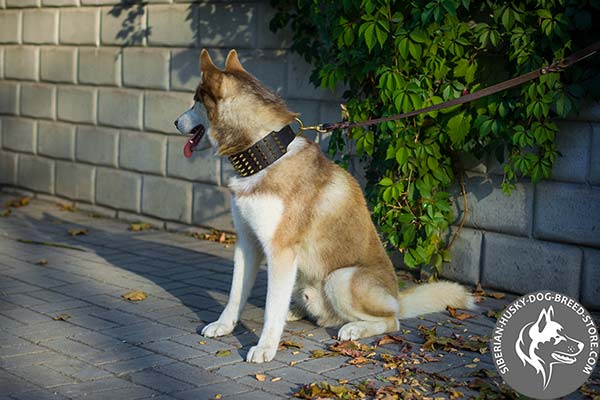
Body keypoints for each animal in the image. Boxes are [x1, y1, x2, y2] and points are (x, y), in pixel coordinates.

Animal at [172, 49, 474, 362]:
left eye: (195, 100)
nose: (175, 122)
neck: (266, 154)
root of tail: (397, 297)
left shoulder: (281, 251)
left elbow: (270, 308)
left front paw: (266, 347)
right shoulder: (247, 243)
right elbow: (236, 294)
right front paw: (224, 325)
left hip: (340, 278)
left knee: (392, 321)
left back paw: (354, 328)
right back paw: (296, 311)